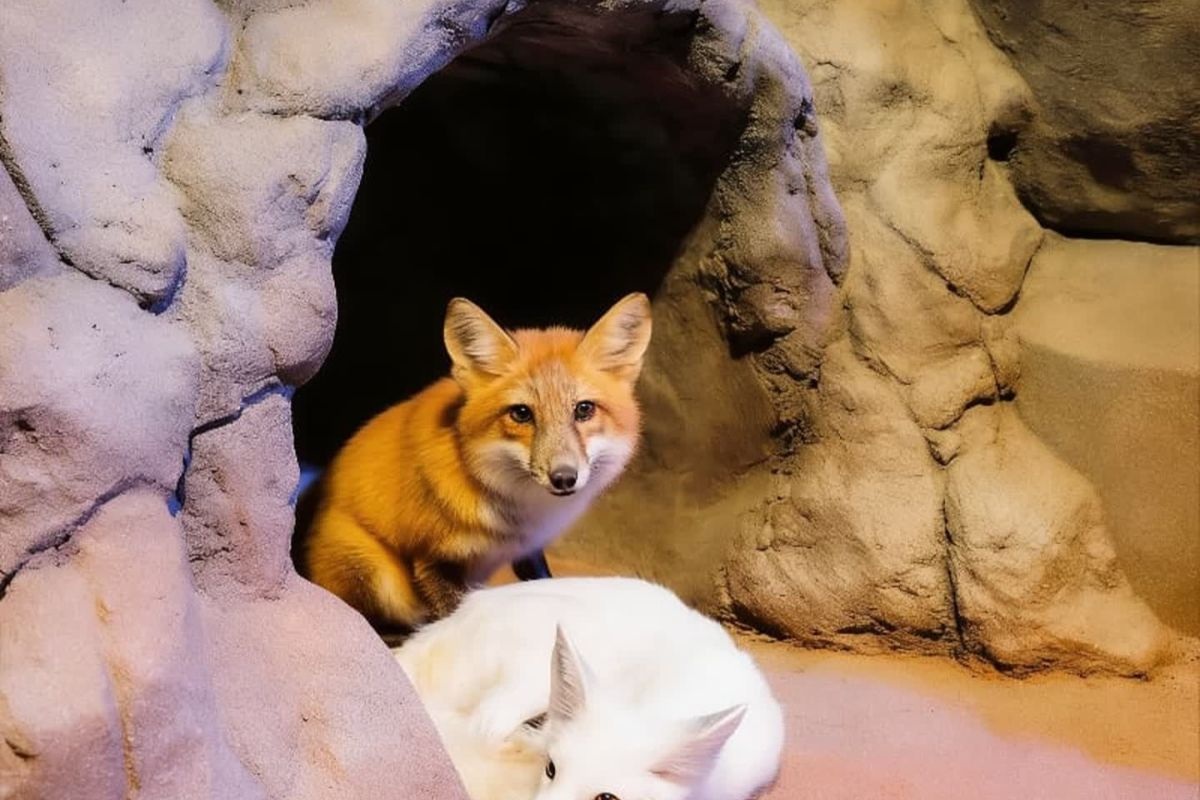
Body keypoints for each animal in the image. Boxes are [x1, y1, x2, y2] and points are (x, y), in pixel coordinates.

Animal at [294, 294, 652, 631]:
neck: (515, 516)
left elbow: (543, 583)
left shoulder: (527, 549)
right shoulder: (430, 557)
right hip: (374, 571)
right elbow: (456, 620)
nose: (564, 478)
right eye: (521, 414)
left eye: (584, 409)